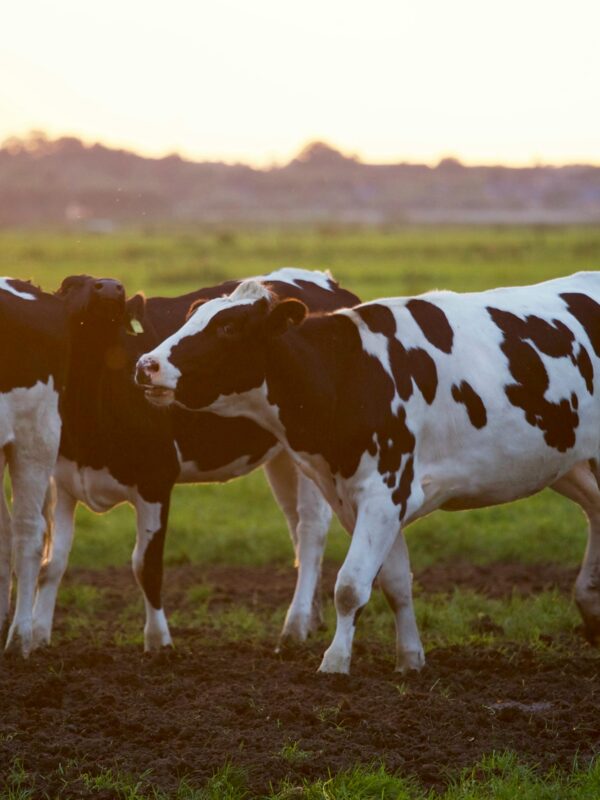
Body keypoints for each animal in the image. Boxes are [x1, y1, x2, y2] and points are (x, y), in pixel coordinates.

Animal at [135, 272, 600, 672]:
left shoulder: (386, 492)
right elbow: (395, 583)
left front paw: (335, 662)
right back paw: (590, 603)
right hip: (566, 462)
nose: (146, 364)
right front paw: (410, 658)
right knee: (595, 509)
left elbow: (350, 585)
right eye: (193, 316)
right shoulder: (356, 499)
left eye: (228, 328)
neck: (348, 374)